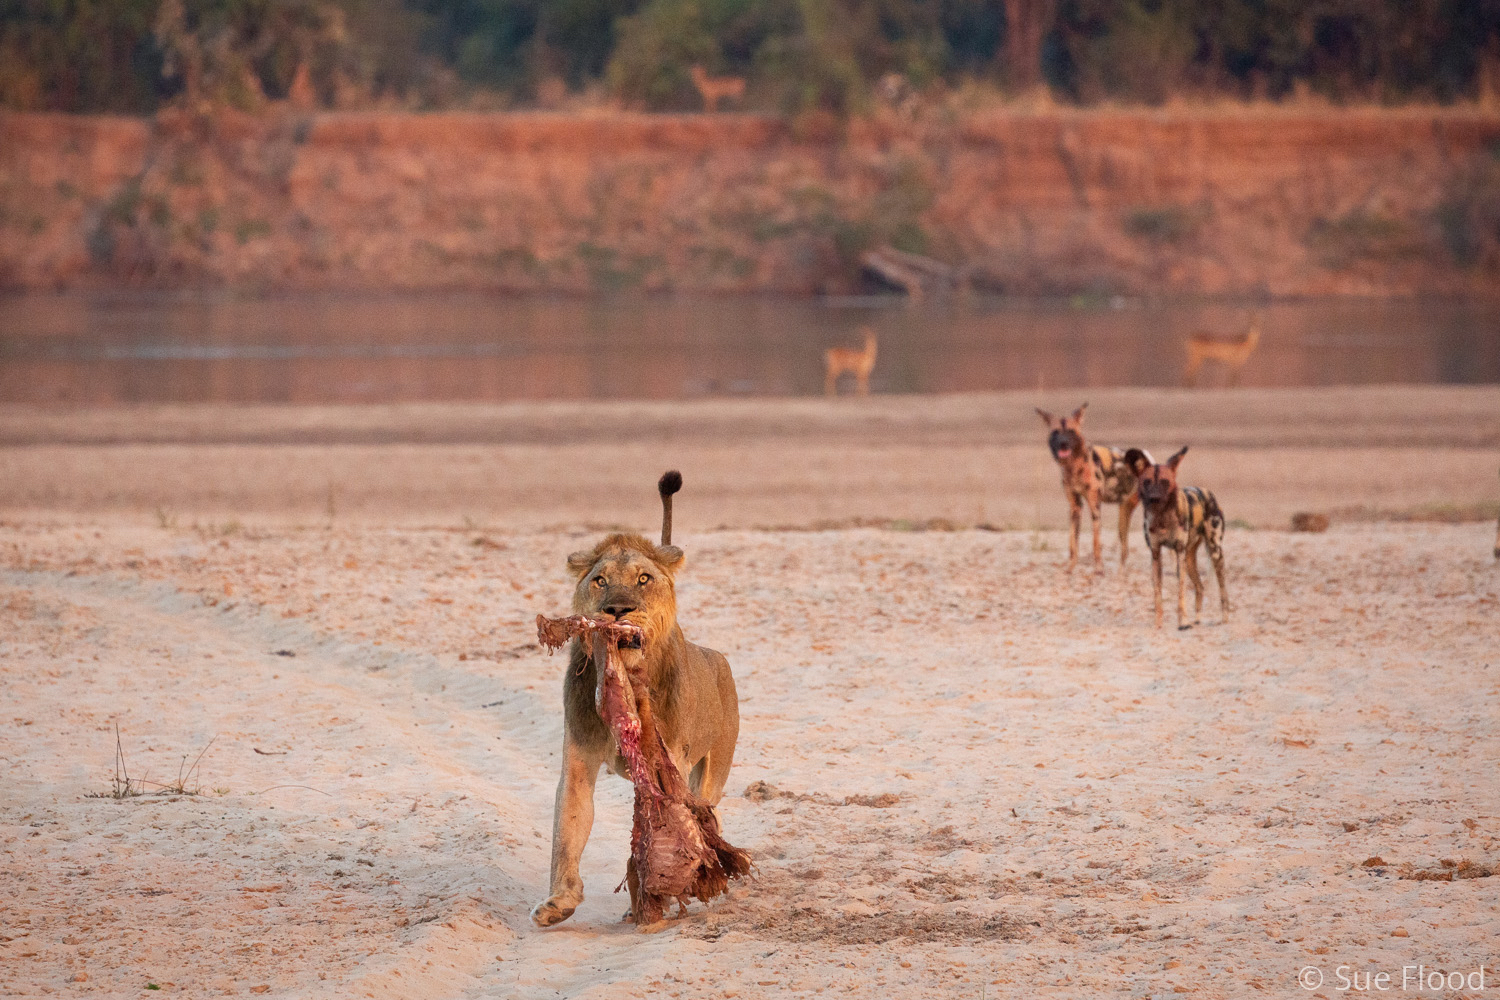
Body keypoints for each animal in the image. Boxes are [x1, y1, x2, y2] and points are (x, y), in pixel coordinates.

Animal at [531, 470, 741, 929]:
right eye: (600, 580)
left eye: (644, 579)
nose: (618, 610)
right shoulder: (578, 759)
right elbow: (566, 831)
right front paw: (558, 901)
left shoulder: (668, 764)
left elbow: (653, 833)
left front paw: (647, 904)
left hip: (711, 773)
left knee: (707, 813)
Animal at [1038, 401, 1152, 569]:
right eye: (1055, 432)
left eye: (1071, 432)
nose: (1063, 443)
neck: (1074, 467)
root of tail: (1148, 462)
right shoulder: (1075, 507)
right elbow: (1073, 543)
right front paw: (1070, 568)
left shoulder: (1095, 507)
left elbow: (1096, 542)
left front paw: (1098, 569)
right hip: (1123, 517)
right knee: (1125, 550)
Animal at [1128, 446, 1230, 629]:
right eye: (1146, 482)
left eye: (1164, 482)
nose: (1154, 499)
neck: (1162, 517)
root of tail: (1208, 492)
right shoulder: (1156, 554)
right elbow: (1157, 595)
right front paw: (1158, 625)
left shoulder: (1179, 552)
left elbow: (1181, 592)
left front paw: (1183, 622)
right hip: (1189, 560)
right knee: (1200, 587)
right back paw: (1197, 620)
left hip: (1215, 553)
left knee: (1222, 589)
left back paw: (1224, 619)